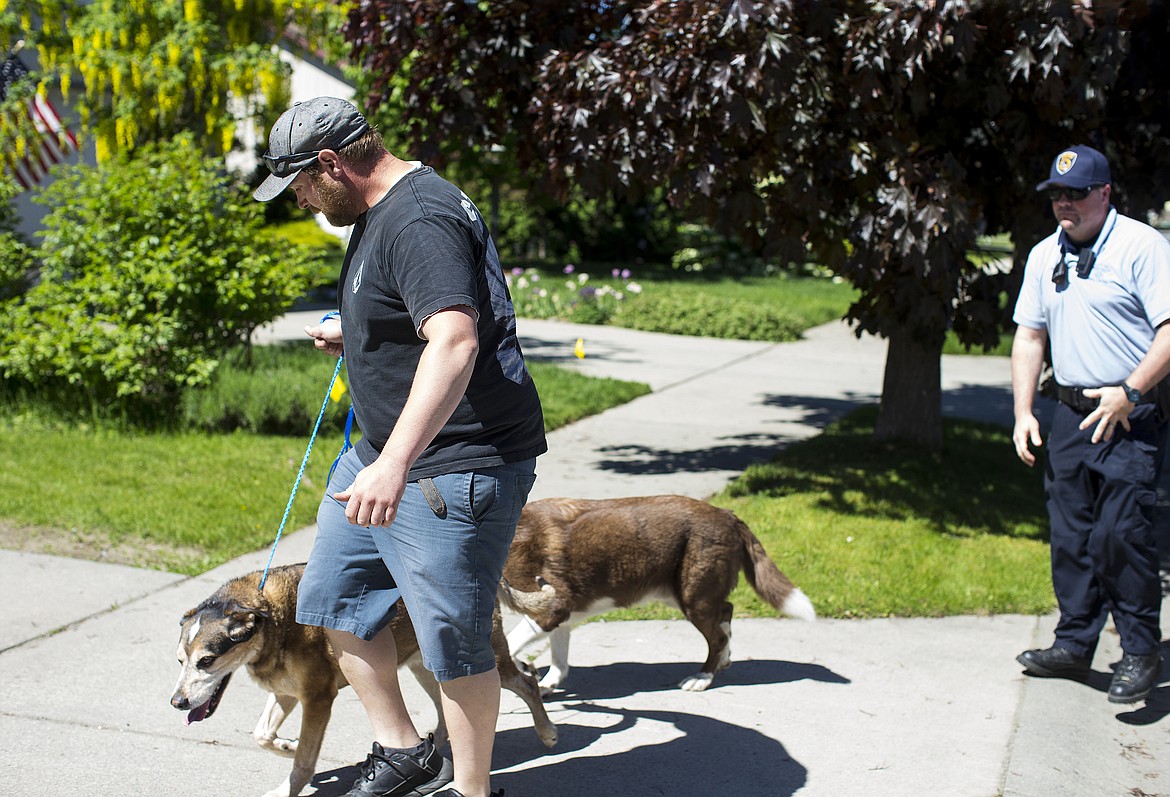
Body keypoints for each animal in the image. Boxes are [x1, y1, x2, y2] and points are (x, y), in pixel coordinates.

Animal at [170, 561, 556, 795]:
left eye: (206, 661)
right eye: (180, 661)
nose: (177, 702)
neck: (271, 621)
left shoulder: (318, 698)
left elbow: (303, 761)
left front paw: (288, 785)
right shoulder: (286, 692)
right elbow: (262, 734)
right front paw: (286, 743)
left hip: (482, 661)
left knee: (527, 680)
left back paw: (547, 731)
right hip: (425, 665)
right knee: (446, 709)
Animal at [500, 493, 814, 692]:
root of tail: (726, 515)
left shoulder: (550, 606)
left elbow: (511, 641)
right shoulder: (561, 614)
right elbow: (558, 657)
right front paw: (543, 679)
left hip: (692, 596)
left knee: (717, 634)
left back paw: (702, 677)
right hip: (682, 593)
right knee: (726, 611)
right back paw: (724, 659)